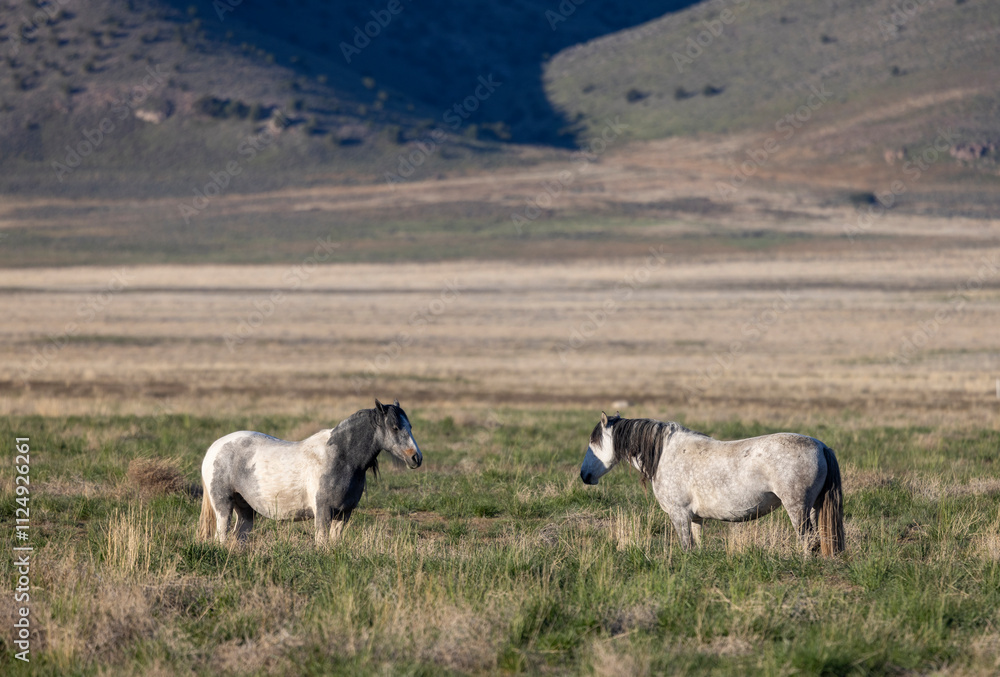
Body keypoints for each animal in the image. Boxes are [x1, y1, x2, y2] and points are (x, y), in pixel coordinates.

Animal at [197, 399, 422, 546]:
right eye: (394, 427)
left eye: (410, 426)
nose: (416, 458)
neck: (341, 458)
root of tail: (214, 448)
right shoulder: (323, 511)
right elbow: (321, 542)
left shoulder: (344, 513)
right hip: (223, 506)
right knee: (221, 537)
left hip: (245, 509)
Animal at [579, 412, 845, 556]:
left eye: (594, 442)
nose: (584, 475)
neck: (665, 454)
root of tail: (821, 446)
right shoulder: (695, 517)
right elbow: (697, 545)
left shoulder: (679, 515)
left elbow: (686, 546)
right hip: (813, 507)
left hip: (797, 508)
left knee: (808, 541)